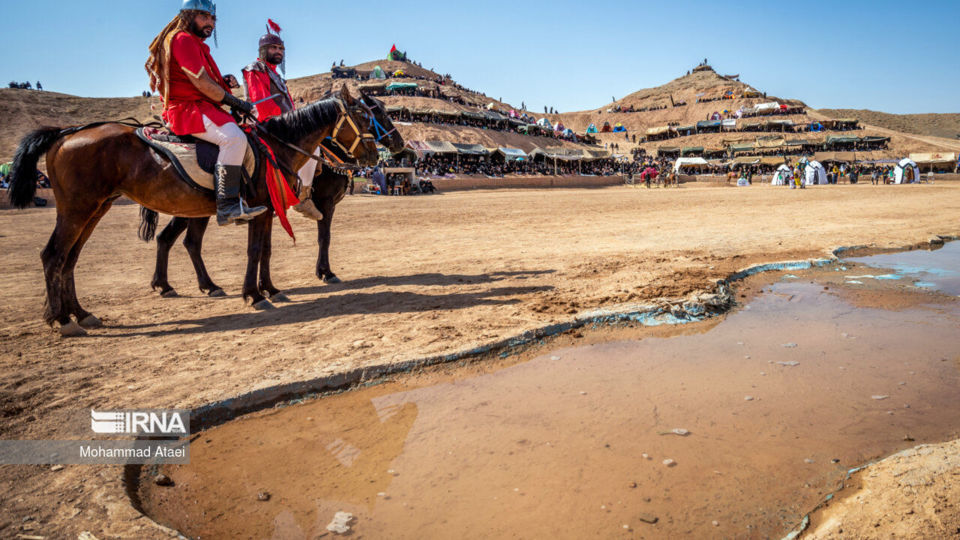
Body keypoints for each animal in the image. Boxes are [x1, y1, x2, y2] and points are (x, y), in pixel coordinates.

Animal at [144, 93, 406, 296]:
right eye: (375, 116)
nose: (401, 145)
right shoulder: (326, 204)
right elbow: (325, 238)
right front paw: (325, 272)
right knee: (186, 241)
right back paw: (201, 285)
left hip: (191, 208)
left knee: (170, 239)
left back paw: (168, 285)